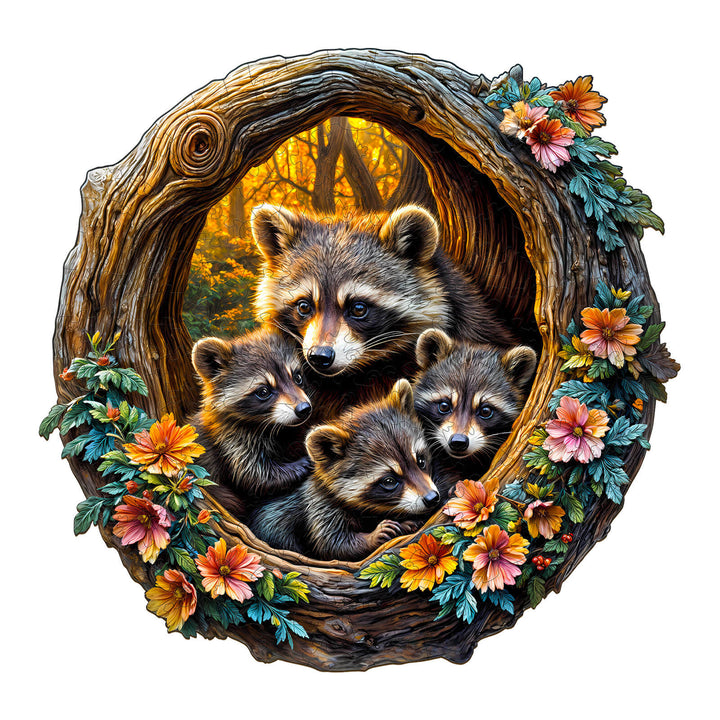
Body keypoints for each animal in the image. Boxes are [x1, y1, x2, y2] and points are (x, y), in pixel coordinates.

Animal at [190, 328, 313, 516]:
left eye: (298, 377)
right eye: (263, 391)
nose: (304, 409)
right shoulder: (228, 441)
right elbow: (256, 476)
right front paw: (301, 464)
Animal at [248, 379, 441, 561]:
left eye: (421, 461)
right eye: (389, 481)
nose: (432, 498)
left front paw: (405, 522)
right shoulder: (317, 504)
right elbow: (333, 545)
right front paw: (373, 536)